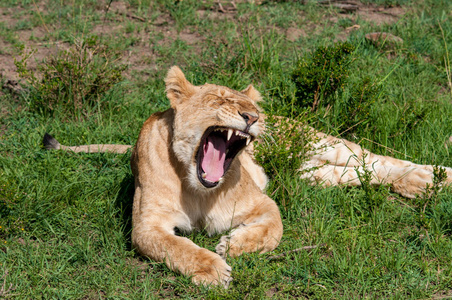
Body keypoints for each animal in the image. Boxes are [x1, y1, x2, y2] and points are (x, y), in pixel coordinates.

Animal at [43, 67, 452, 288]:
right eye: (222, 101)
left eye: (251, 106)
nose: (254, 118)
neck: (196, 186)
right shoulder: (146, 225)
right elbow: (176, 246)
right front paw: (212, 268)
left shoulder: (263, 203)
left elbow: (272, 230)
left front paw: (231, 246)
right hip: (314, 175)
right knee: (358, 173)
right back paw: (419, 185)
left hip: (319, 142)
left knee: (373, 158)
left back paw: (434, 175)